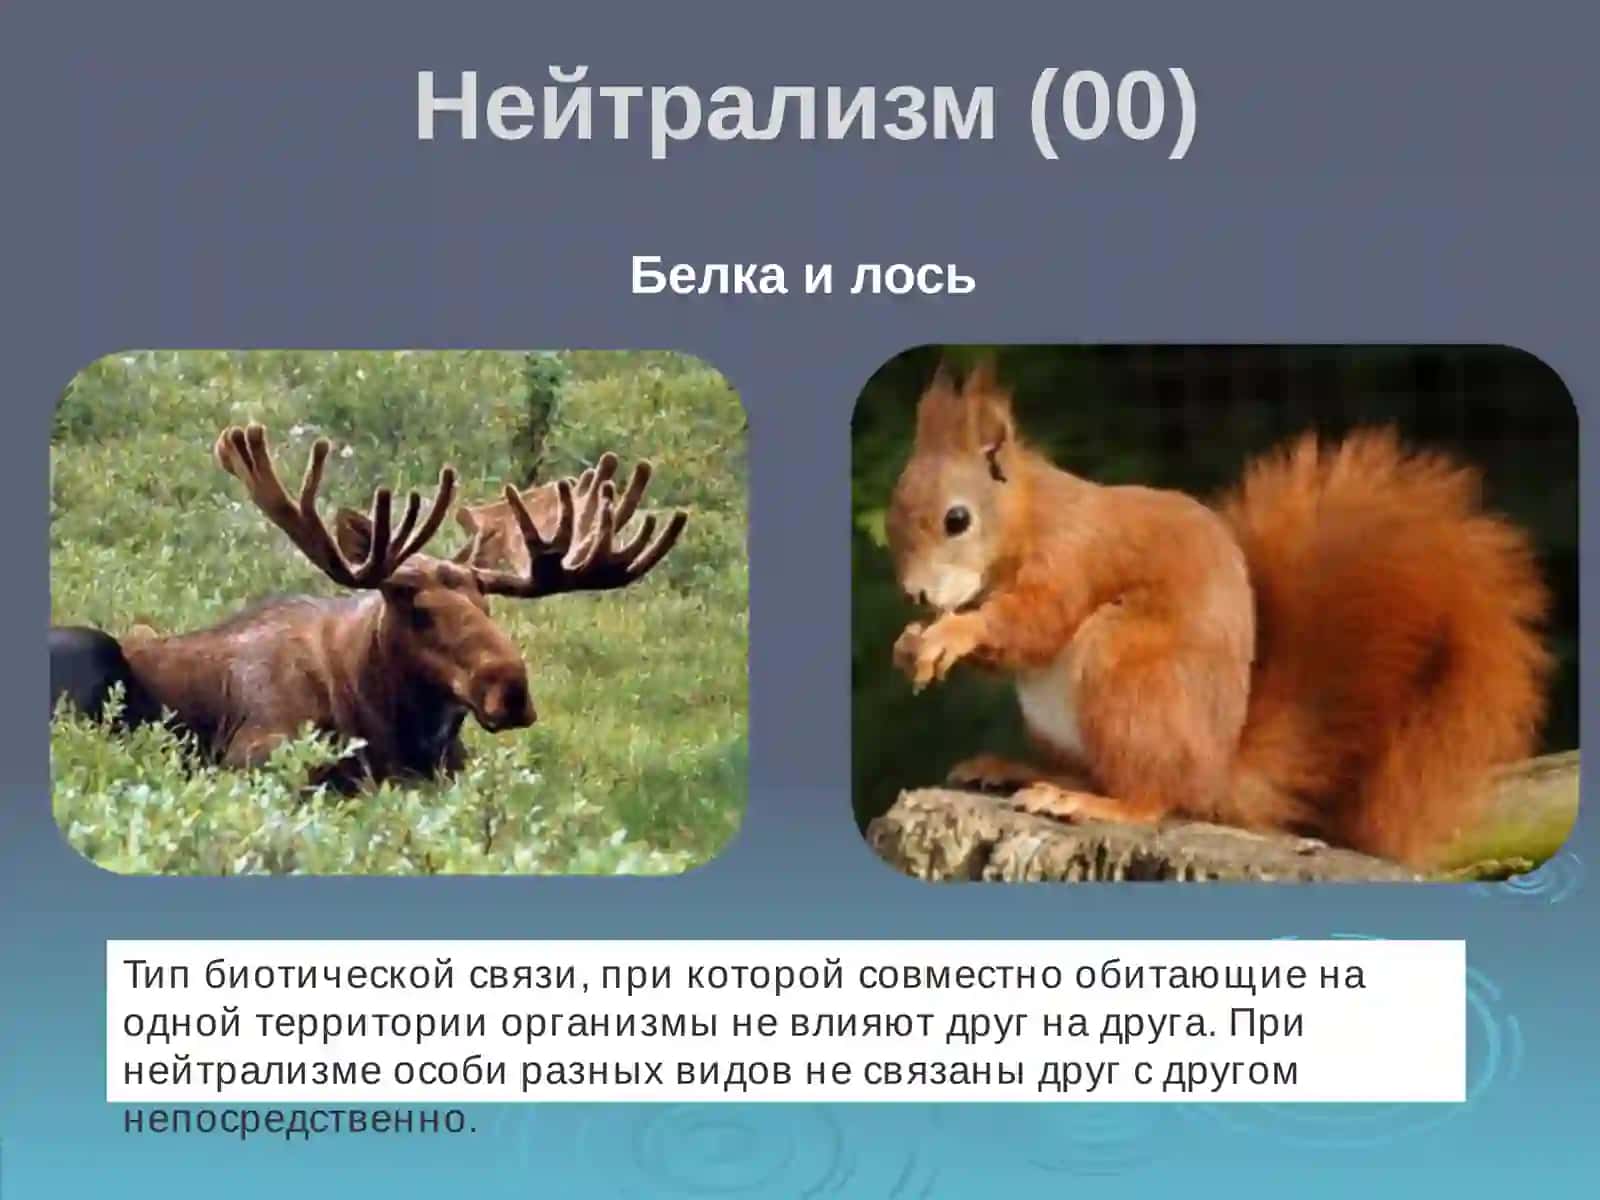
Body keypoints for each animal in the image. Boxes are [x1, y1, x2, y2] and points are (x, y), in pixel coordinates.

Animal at [885, 359, 1552, 868]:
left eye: (957, 519)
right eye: (893, 517)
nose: (916, 596)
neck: (1030, 515)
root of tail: (1216, 773)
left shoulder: (1073, 558)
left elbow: (1037, 623)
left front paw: (953, 631)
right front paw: (911, 643)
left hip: (1126, 671)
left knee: (1151, 795)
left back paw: (1087, 802)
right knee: (1100, 772)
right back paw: (1016, 770)